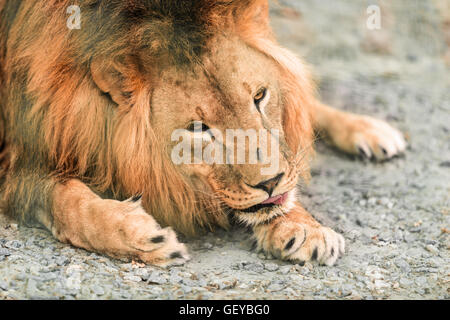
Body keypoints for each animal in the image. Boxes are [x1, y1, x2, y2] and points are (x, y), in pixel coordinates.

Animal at [0, 0, 408, 266]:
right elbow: (66, 200)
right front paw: (136, 235)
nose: (269, 182)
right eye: (198, 130)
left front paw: (302, 226)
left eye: (259, 96)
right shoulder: (16, 154)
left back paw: (371, 131)